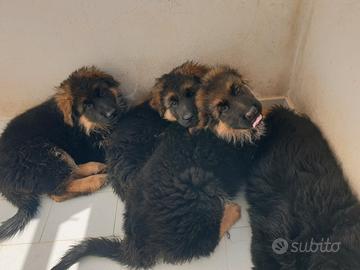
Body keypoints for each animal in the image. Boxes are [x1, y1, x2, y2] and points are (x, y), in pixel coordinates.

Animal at [0, 67, 128, 240]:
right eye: (87, 106)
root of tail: (5, 184)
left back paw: (95, 168)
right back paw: (97, 179)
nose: (112, 113)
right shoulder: (97, 146)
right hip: (42, 153)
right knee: (58, 191)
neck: (86, 125)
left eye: (101, 92)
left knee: (71, 171)